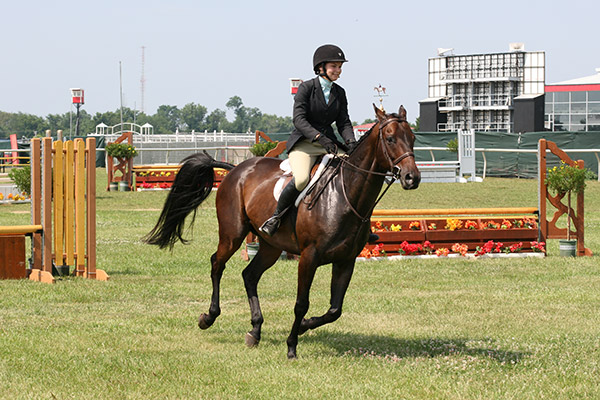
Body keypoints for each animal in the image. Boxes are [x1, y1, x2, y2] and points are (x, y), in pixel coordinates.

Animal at [144, 104, 422, 360]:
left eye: (412, 138)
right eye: (390, 138)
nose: (412, 178)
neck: (344, 195)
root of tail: (236, 169)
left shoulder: (346, 260)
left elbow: (335, 309)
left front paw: (305, 327)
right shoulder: (309, 257)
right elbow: (301, 303)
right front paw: (292, 345)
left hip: (270, 246)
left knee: (249, 275)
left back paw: (255, 331)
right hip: (233, 235)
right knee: (217, 264)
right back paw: (209, 317)